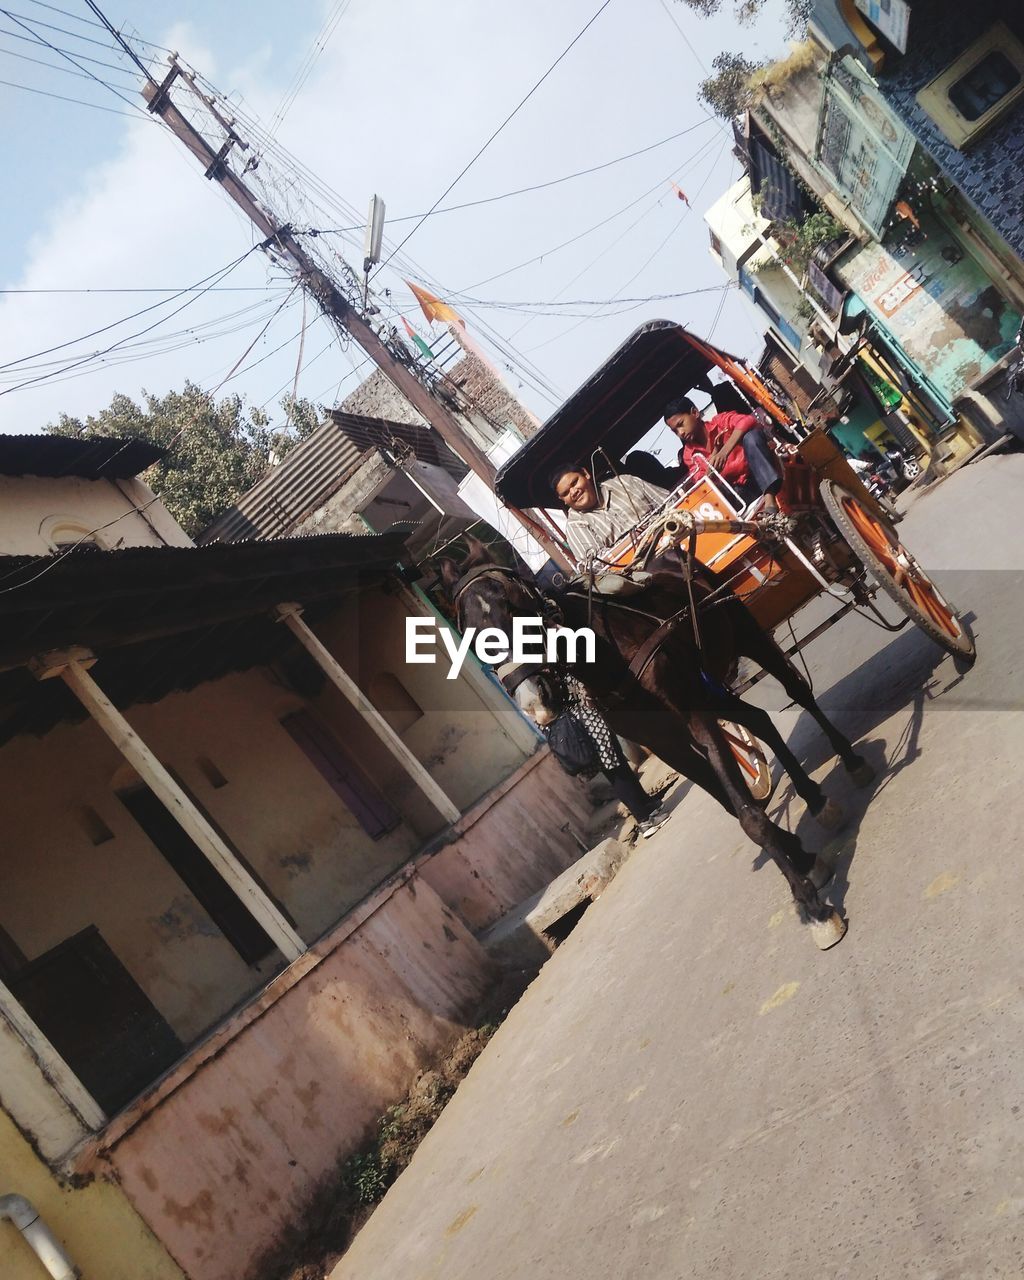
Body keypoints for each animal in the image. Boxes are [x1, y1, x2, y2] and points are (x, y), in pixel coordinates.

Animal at [435, 532, 875, 952]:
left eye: (513, 604)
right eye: (468, 634)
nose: (533, 702)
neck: (605, 653)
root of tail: (670, 551)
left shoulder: (694, 717)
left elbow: (749, 817)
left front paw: (813, 907)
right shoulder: (665, 742)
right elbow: (733, 806)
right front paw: (802, 857)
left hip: (745, 635)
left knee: (798, 691)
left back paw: (848, 767)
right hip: (711, 687)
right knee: (760, 721)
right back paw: (812, 795)